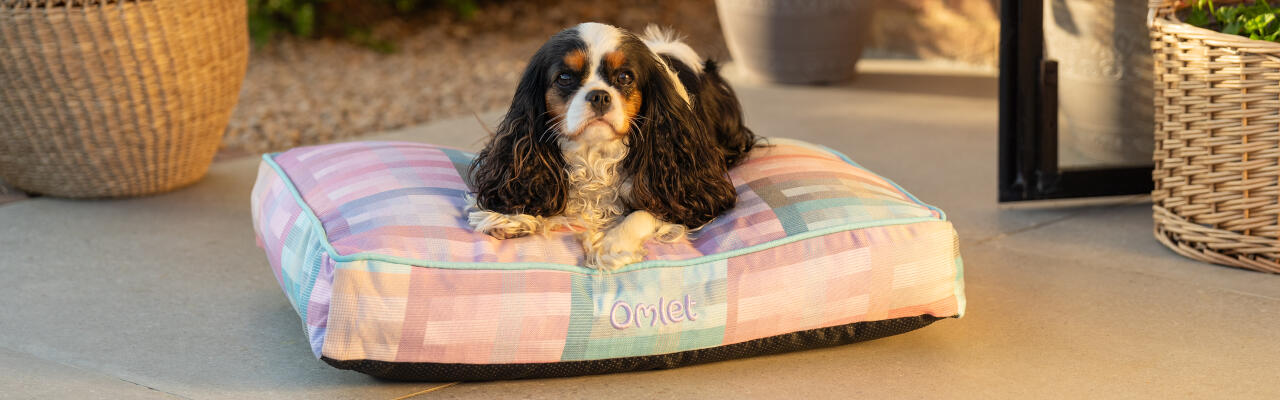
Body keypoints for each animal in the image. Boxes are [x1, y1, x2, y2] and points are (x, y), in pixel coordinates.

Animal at [471, 23, 752, 270]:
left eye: (625, 77)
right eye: (565, 77)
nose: (599, 96)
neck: (594, 153)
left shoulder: (685, 183)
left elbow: (651, 209)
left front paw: (613, 244)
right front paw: (511, 215)